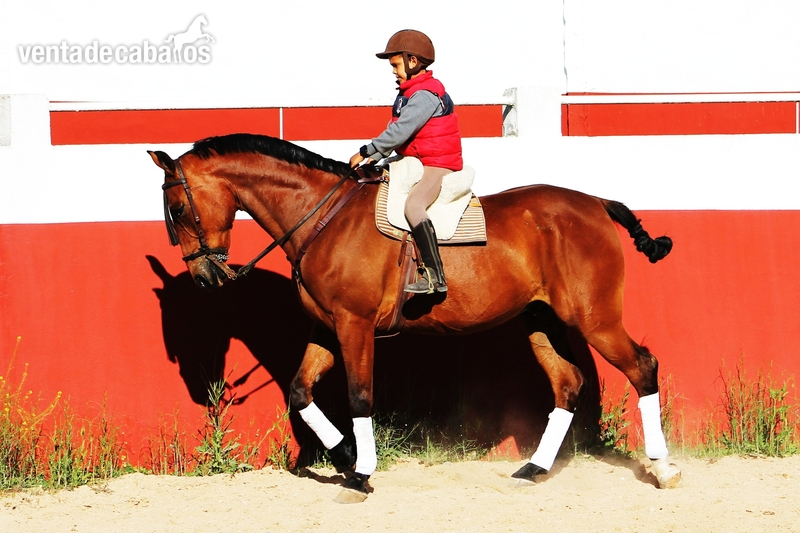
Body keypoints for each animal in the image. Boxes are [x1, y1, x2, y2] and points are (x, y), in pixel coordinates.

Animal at [149, 133, 681, 502]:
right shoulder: (326, 327)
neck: (321, 218)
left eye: (177, 209)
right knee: (568, 384)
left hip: (596, 319)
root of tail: (595, 204)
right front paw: (346, 457)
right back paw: (533, 470)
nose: (205, 279)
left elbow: (359, 397)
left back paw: (663, 469)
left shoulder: (355, 325)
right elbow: (300, 392)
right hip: (540, 321)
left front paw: (361, 474)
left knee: (643, 367)